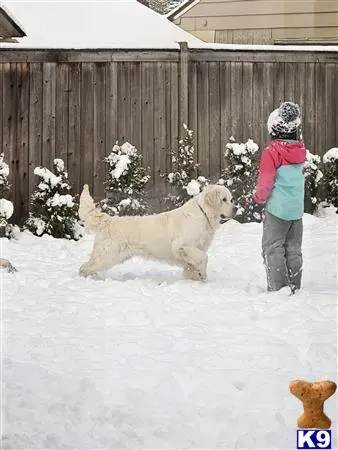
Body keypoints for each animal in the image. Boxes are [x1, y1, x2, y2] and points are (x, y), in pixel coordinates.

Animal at [79, 185, 238, 280]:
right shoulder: (181, 245)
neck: (204, 214)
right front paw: (202, 274)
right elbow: (204, 257)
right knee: (84, 267)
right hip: (107, 255)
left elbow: (193, 266)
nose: (235, 209)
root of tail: (109, 220)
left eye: (231, 199)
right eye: (223, 199)